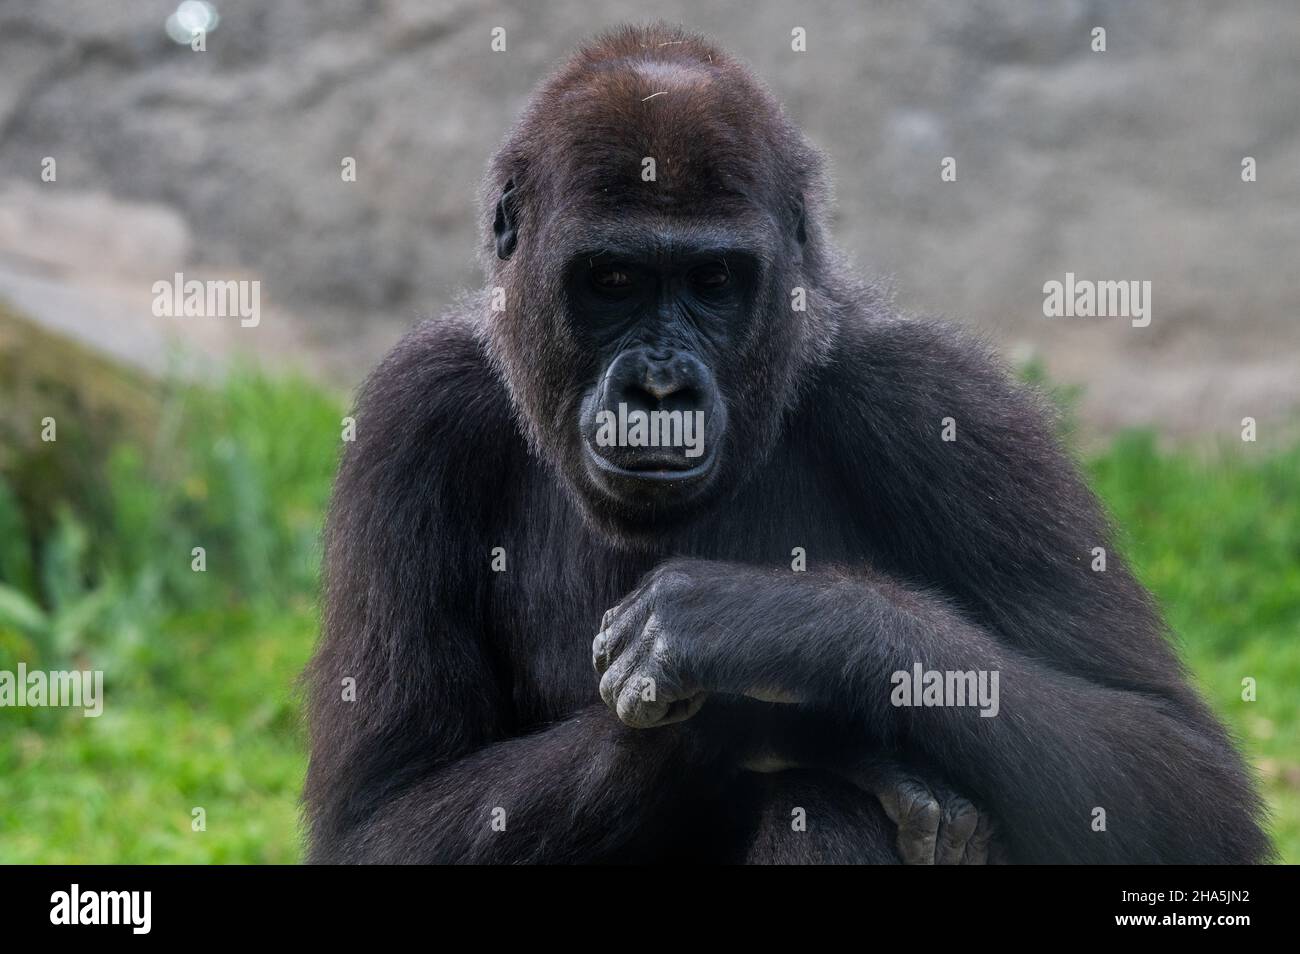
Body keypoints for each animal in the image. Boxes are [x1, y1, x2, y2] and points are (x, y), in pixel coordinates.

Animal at [301, 27, 1268, 868]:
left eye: (714, 280)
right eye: (612, 279)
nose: (661, 390)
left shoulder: (938, 395)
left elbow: (1176, 766)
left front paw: (790, 631)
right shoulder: (413, 416)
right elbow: (379, 821)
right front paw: (781, 726)